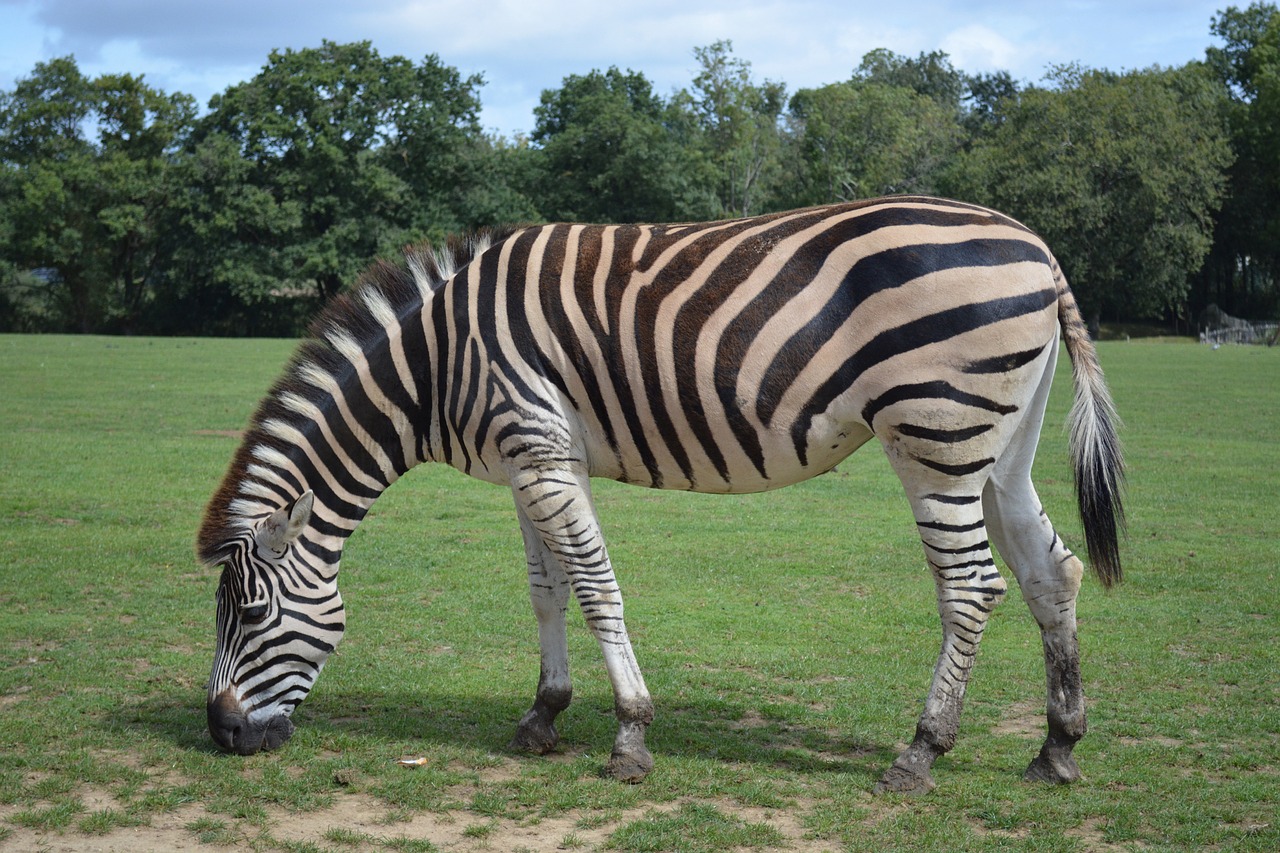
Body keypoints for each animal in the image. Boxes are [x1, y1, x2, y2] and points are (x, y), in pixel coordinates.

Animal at [197, 195, 1121, 794]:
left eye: (249, 613)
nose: (220, 733)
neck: (435, 364)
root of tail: (1036, 246)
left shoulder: (539, 448)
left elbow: (596, 586)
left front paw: (631, 735)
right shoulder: (530, 461)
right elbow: (546, 589)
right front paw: (543, 714)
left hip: (935, 436)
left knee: (970, 586)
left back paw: (922, 752)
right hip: (1000, 447)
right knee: (1052, 572)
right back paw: (1058, 748)